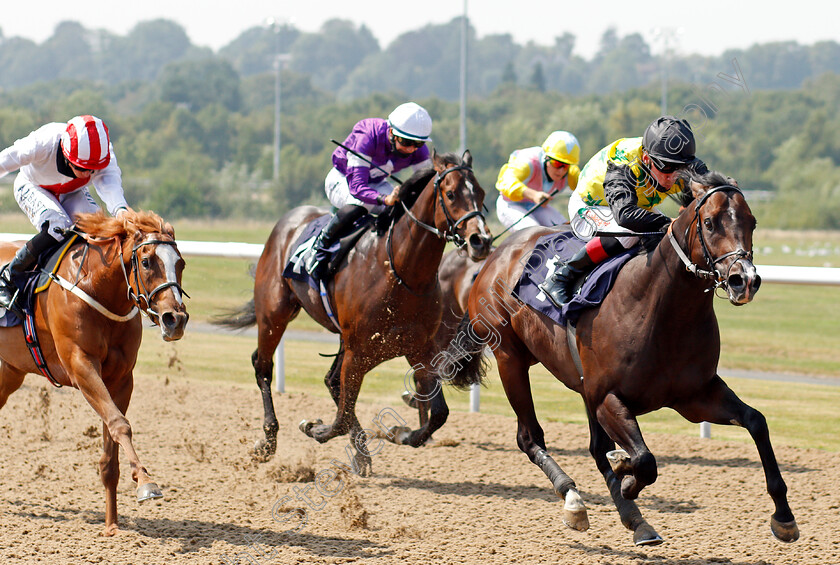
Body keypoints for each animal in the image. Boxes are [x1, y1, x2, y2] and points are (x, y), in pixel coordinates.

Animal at [0, 209, 189, 536]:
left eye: (181, 263)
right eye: (146, 262)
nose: (175, 319)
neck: (97, 288)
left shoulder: (121, 378)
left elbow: (110, 453)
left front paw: (112, 525)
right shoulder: (81, 365)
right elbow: (119, 424)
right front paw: (146, 481)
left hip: (9, 372)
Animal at [217, 149, 492, 472]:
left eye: (481, 193)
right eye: (450, 194)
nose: (481, 240)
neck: (401, 273)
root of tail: (288, 221)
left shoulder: (420, 348)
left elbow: (438, 413)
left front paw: (400, 433)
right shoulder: (358, 351)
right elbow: (340, 416)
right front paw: (315, 428)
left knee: (330, 381)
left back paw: (360, 452)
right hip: (274, 315)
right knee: (263, 366)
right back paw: (269, 441)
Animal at [436, 170, 796, 544]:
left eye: (752, 221)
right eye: (710, 223)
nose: (745, 281)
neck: (660, 309)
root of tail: (497, 255)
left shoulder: (694, 396)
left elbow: (756, 421)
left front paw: (784, 517)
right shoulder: (608, 397)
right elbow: (645, 460)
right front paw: (625, 476)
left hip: (578, 383)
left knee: (595, 447)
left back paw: (634, 517)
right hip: (511, 358)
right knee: (529, 437)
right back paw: (574, 499)